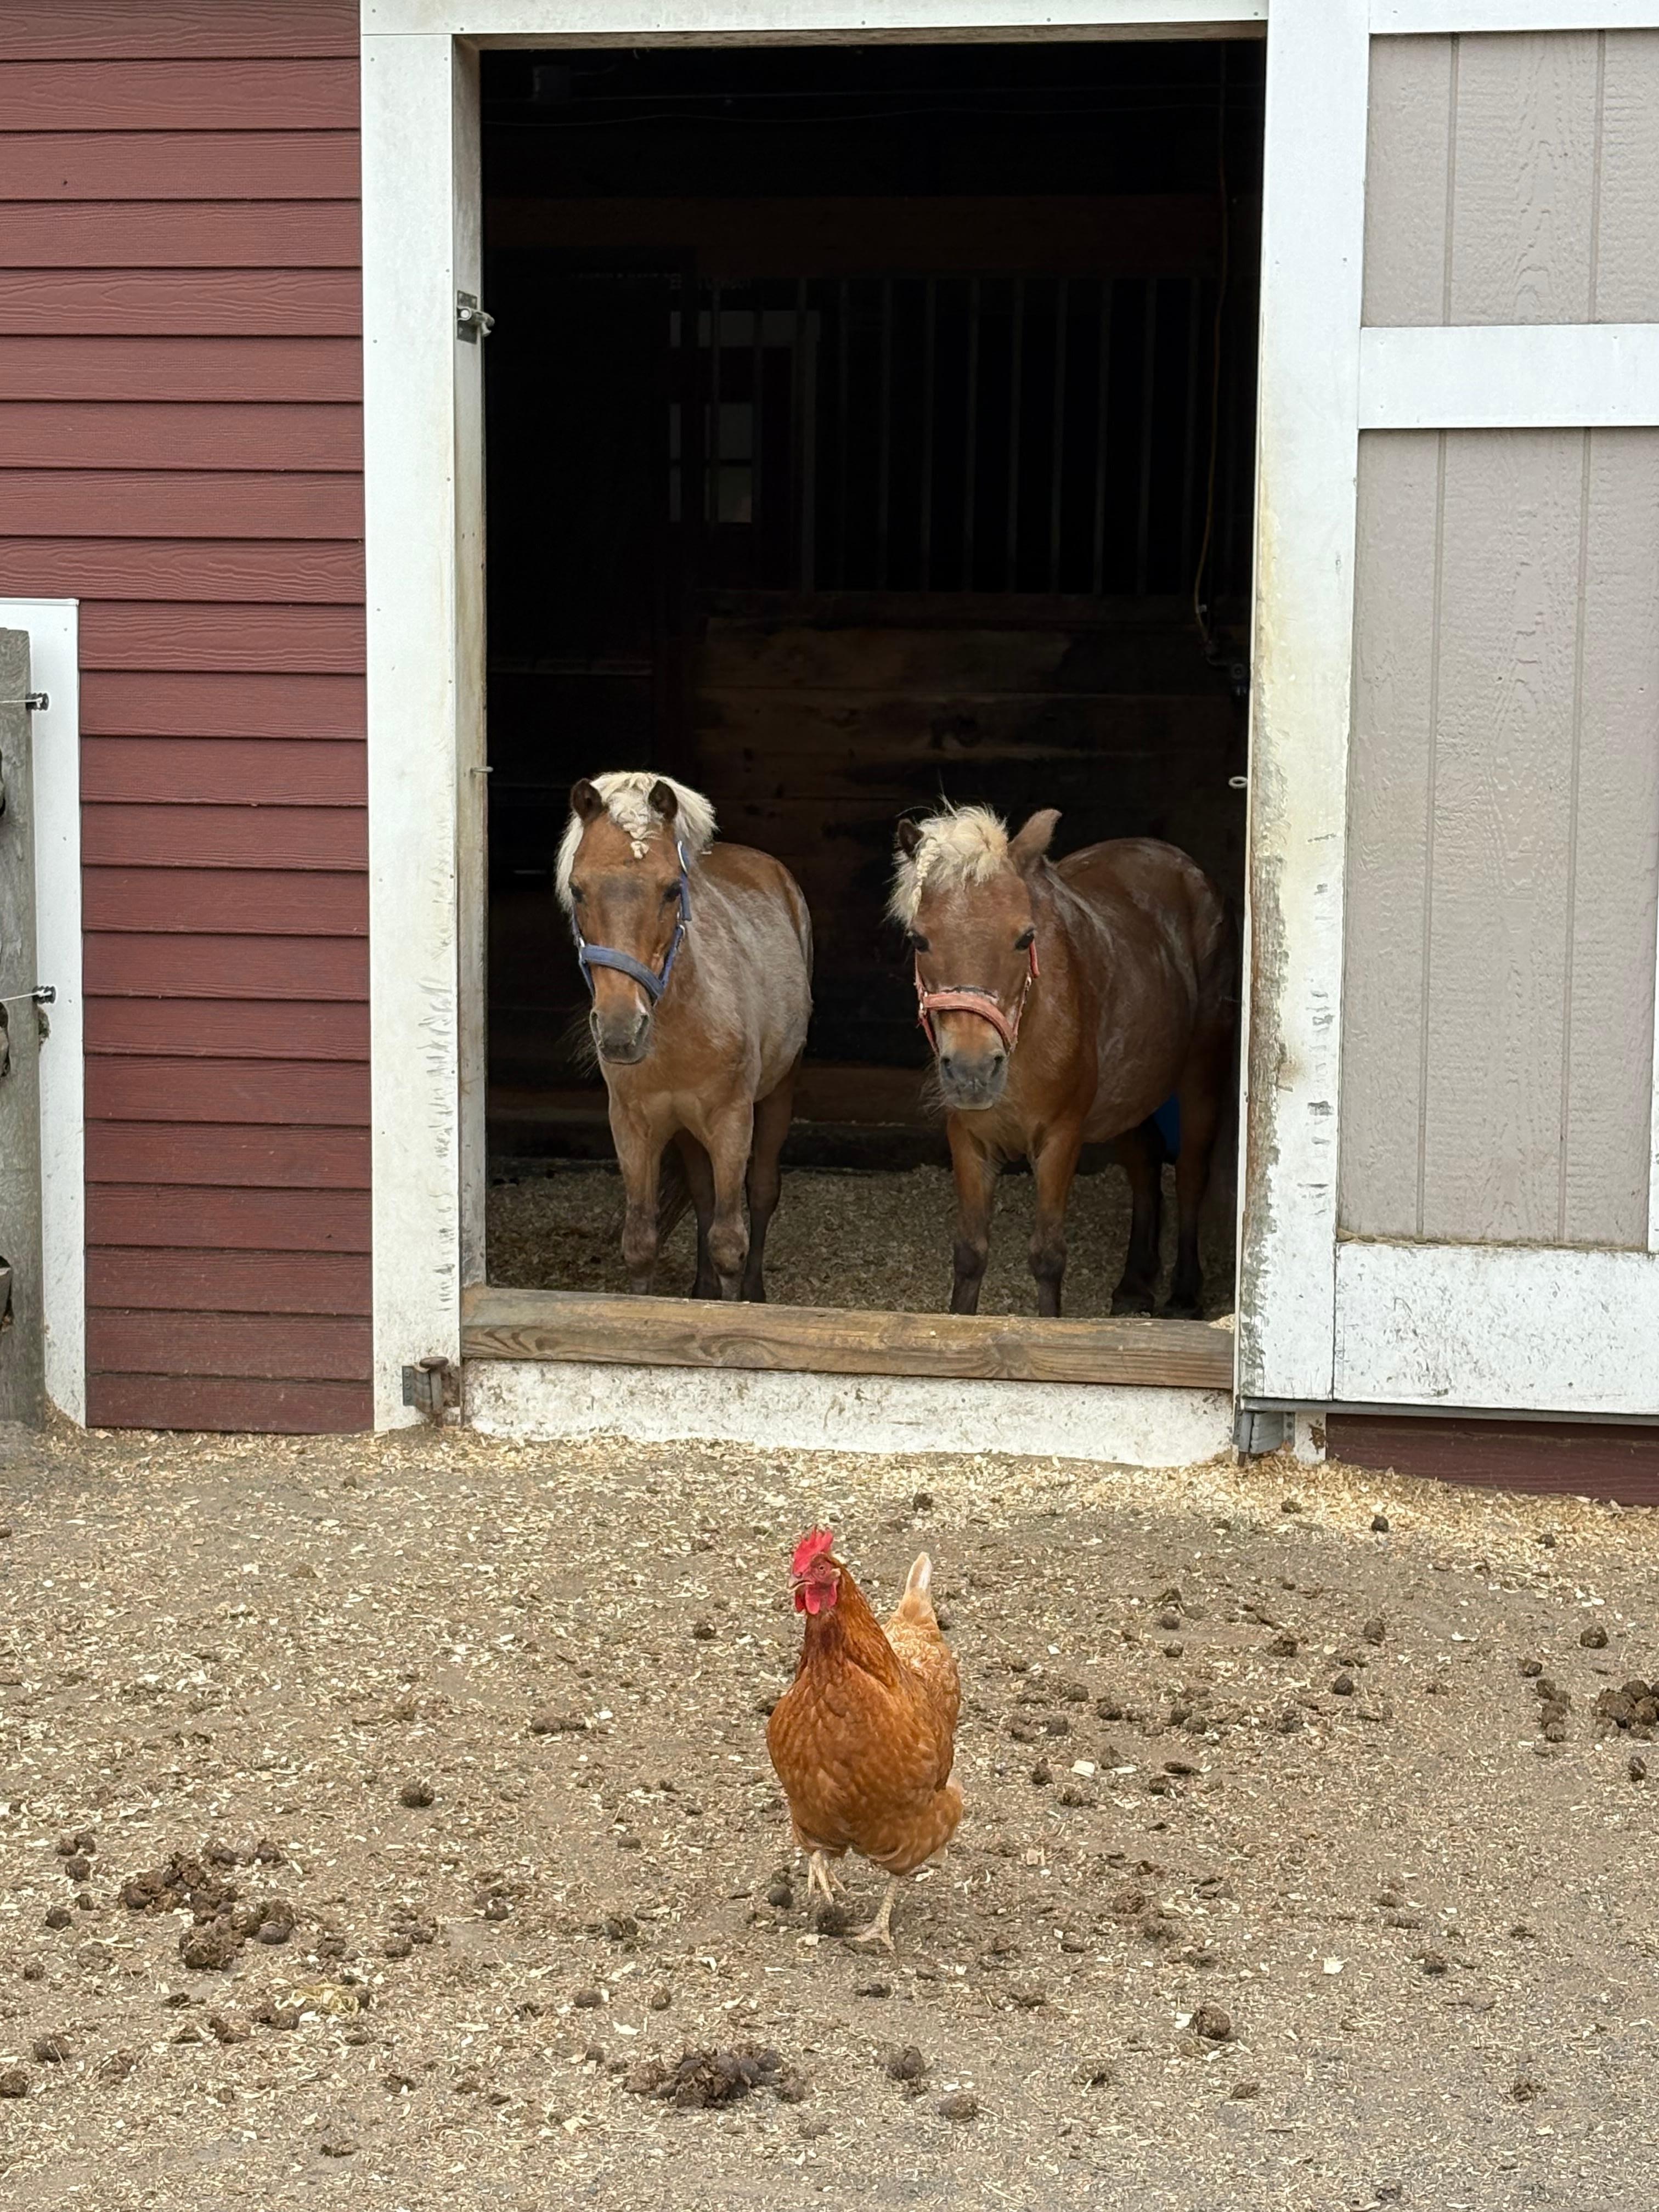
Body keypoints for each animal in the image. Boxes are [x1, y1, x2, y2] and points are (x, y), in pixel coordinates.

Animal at [557, 772, 812, 1301]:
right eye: (578, 889)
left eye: (673, 889)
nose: (621, 1029)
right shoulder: (634, 1126)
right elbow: (641, 1241)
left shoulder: (731, 1121)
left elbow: (729, 1241)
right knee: (702, 1194)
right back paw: (700, 1288)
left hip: (779, 1091)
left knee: (762, 1191)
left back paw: (754, 1291)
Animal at [890, 804, 1233, 1319]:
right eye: (919, 940)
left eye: (1024, 937)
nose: (972, 1071)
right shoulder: (969, 1140)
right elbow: (970, 1252)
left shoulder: (1060, 1138)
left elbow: (1048, 1256)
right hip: (1129, 1094)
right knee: (1145, 1163)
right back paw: (1134, 1284)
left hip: (1200, 1070)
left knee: (1191, 1171)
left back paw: (1185, 1294)